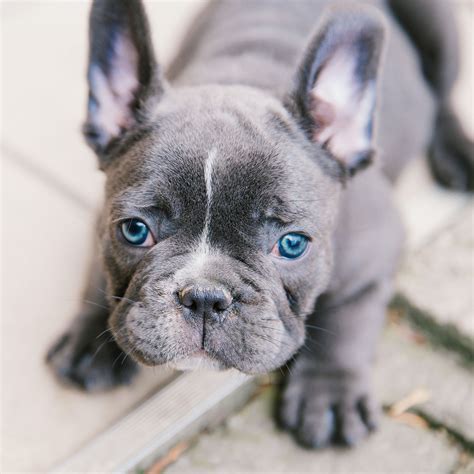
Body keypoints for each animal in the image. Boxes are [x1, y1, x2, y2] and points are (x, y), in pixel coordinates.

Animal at [48, 0, 474, 448]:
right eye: (134, 230)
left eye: (292, 244)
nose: (205, 297)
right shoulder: (102, 216)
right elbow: (100, 276)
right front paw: (90, 342)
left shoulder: (376, 249)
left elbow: (347, 316)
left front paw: (330, 390)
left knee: (443, 94)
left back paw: (457, 151)